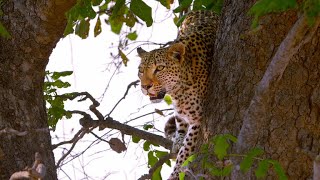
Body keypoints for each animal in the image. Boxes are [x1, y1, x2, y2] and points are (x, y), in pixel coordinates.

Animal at [136, 10, 219, 179]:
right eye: (141, 71)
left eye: (159, 68)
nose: (145, 86)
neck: (179, 89)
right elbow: (180, 124)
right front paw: (179, 141)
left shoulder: (198, 119)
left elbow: (185, 151)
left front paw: (175, 173)